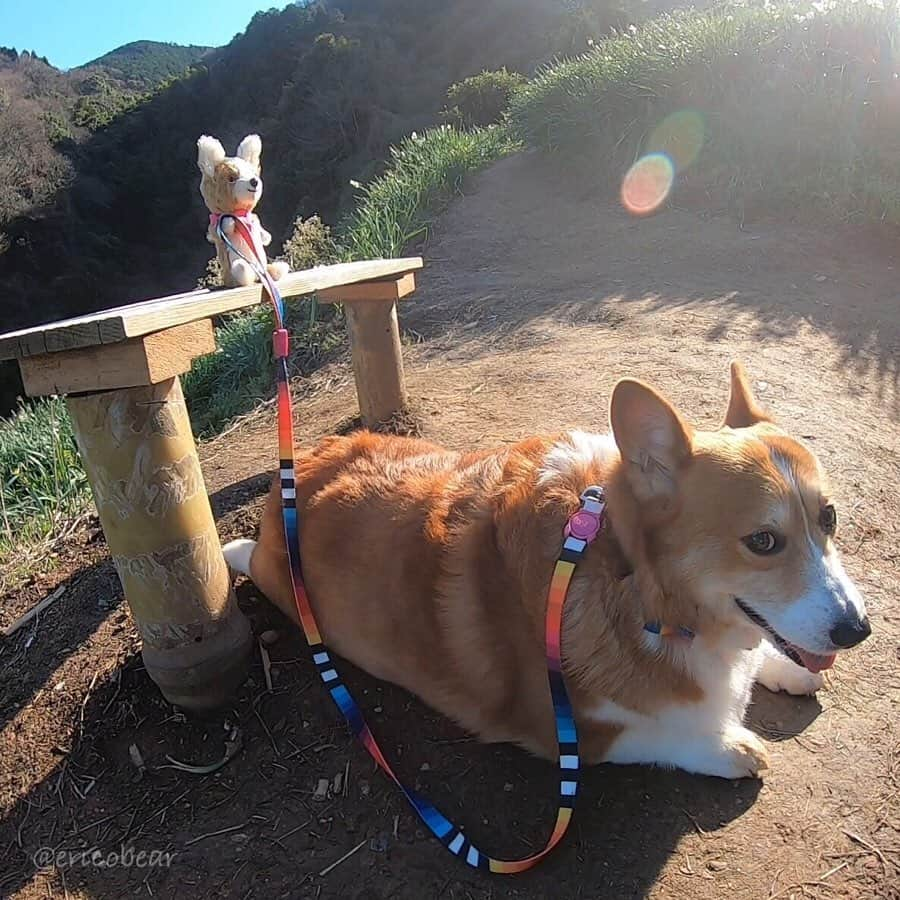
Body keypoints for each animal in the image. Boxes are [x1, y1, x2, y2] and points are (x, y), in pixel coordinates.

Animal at [221, 362, 868, 776]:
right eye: (763, 541)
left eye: (830, 517)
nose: (857, 630)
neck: (630, 582)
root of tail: (294, 471)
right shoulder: (564, 730)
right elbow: (670, 731)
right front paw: (734, 745)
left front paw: (787, 669)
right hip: (287, 588)